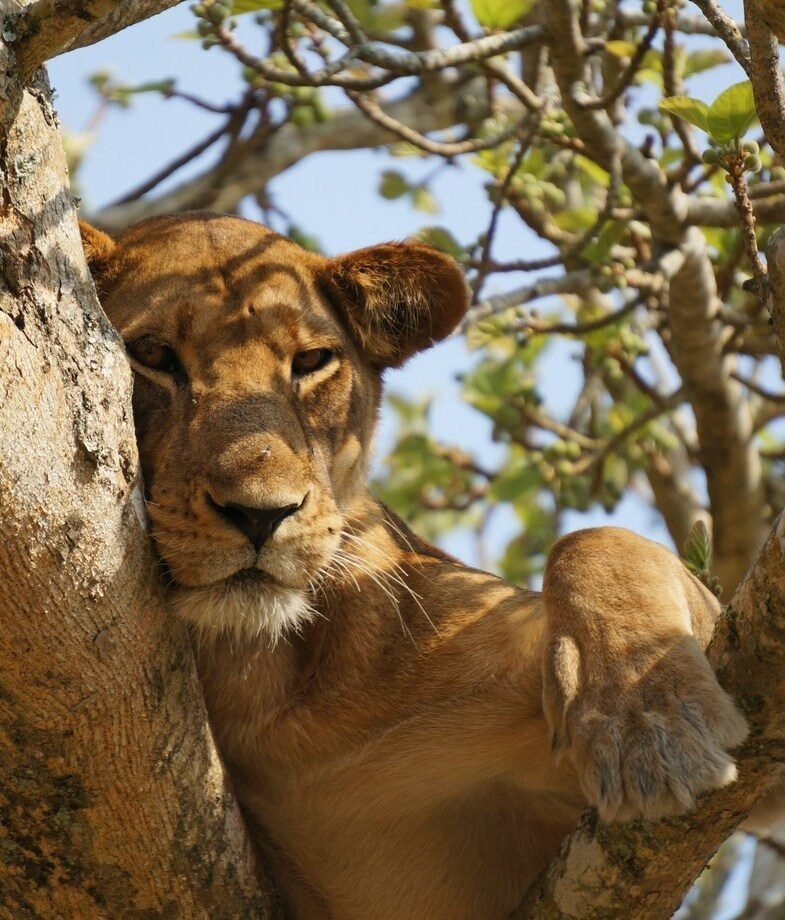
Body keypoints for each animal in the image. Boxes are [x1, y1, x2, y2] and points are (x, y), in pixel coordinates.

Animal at [79, 212, 749, 920]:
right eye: (152, 355)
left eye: (310, 362)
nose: (261, 515)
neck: (258, 682)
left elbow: (594, 540)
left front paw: (647, 721)